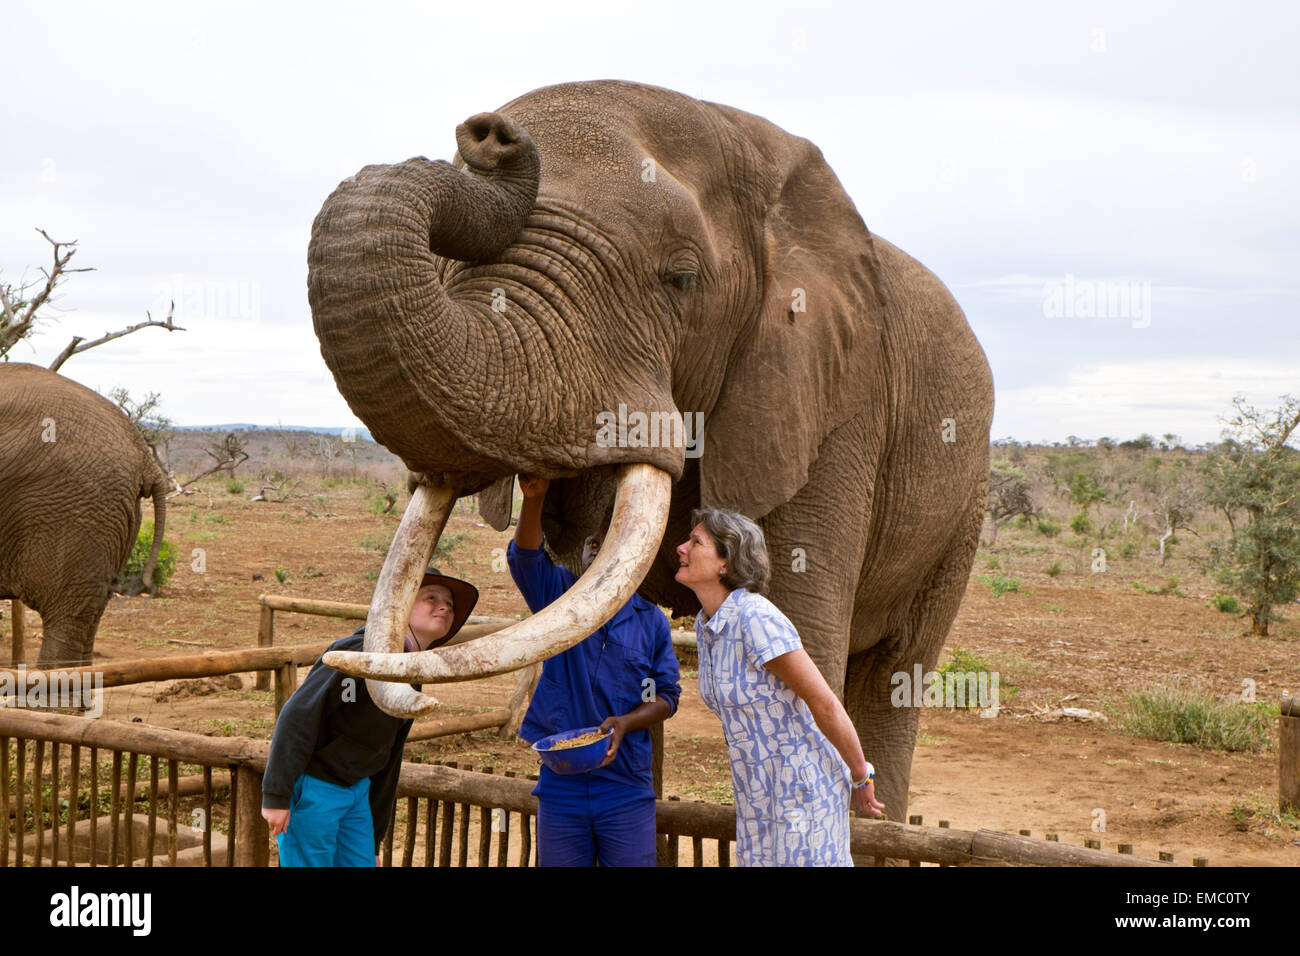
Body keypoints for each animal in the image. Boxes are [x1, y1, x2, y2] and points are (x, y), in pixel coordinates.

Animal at [306, 80, 993, 822]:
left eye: (682, 279)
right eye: (448, 265)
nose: (489, 137)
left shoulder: (833, 405)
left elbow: (802, 629)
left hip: (965, 498)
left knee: (896, 672)